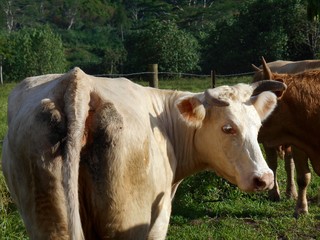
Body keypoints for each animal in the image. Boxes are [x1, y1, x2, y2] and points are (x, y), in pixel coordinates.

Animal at [1, 67, 286, 238]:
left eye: (258, 126)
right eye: (228, 128)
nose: (264, 178)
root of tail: (77, 82)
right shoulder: (159, 218)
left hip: (46, 219)